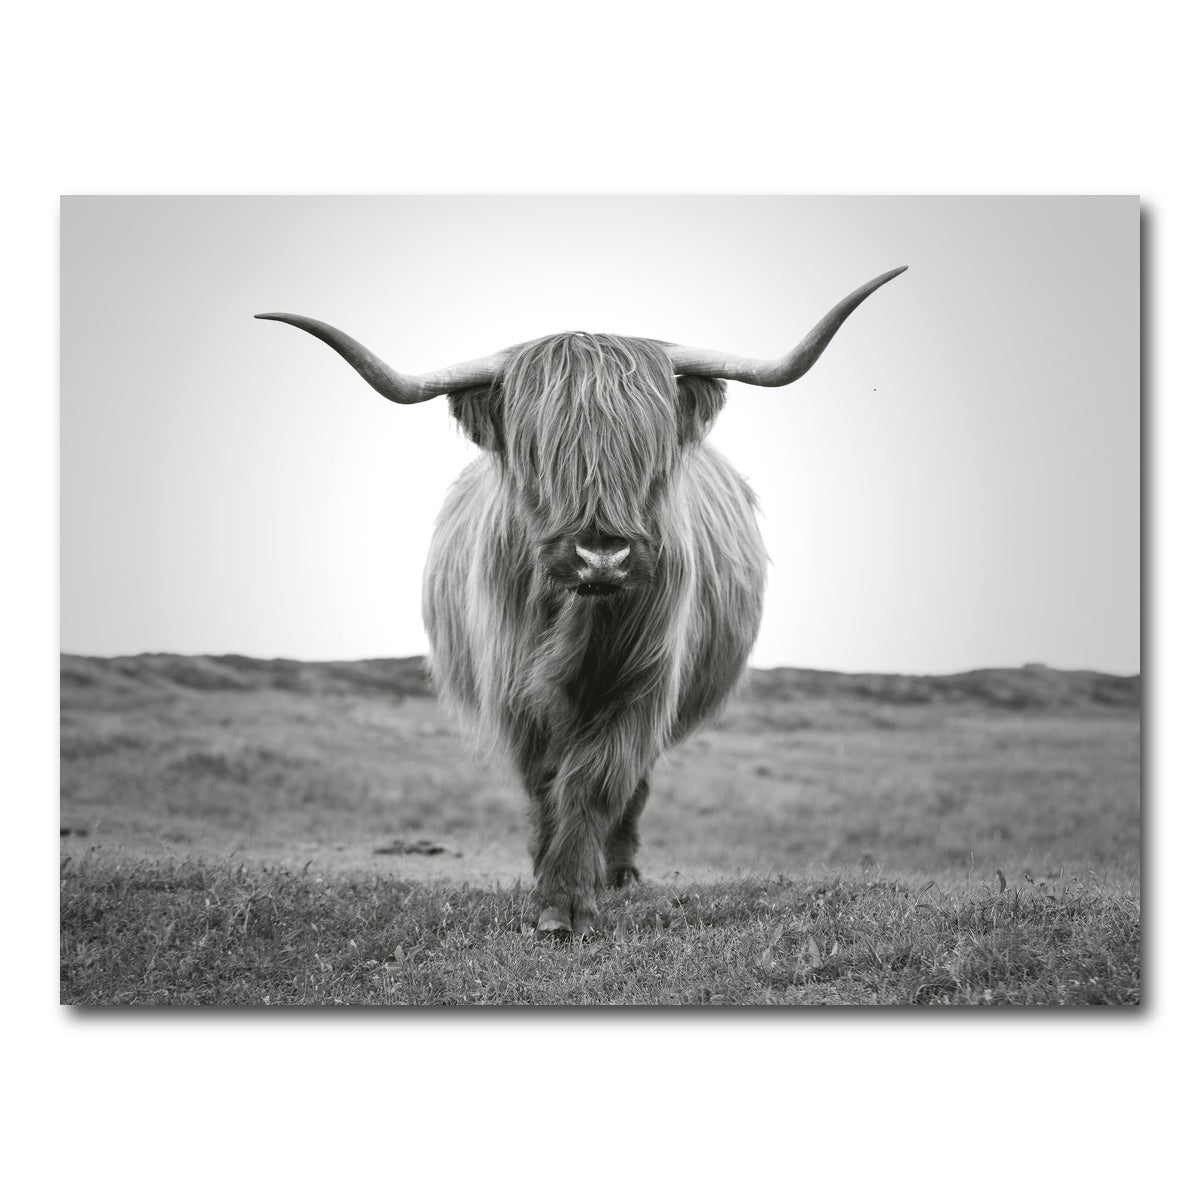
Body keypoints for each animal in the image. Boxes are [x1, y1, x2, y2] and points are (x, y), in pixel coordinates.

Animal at [257, 266, 905, 934]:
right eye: (537, 453)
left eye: (648, 450)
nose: (601, 556)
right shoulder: (515, 691)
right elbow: (546, 782)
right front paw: (549, 887)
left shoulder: (642, 684)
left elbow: (596, 780)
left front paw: (570, 898)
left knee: (632, 787)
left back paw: (617, 872)